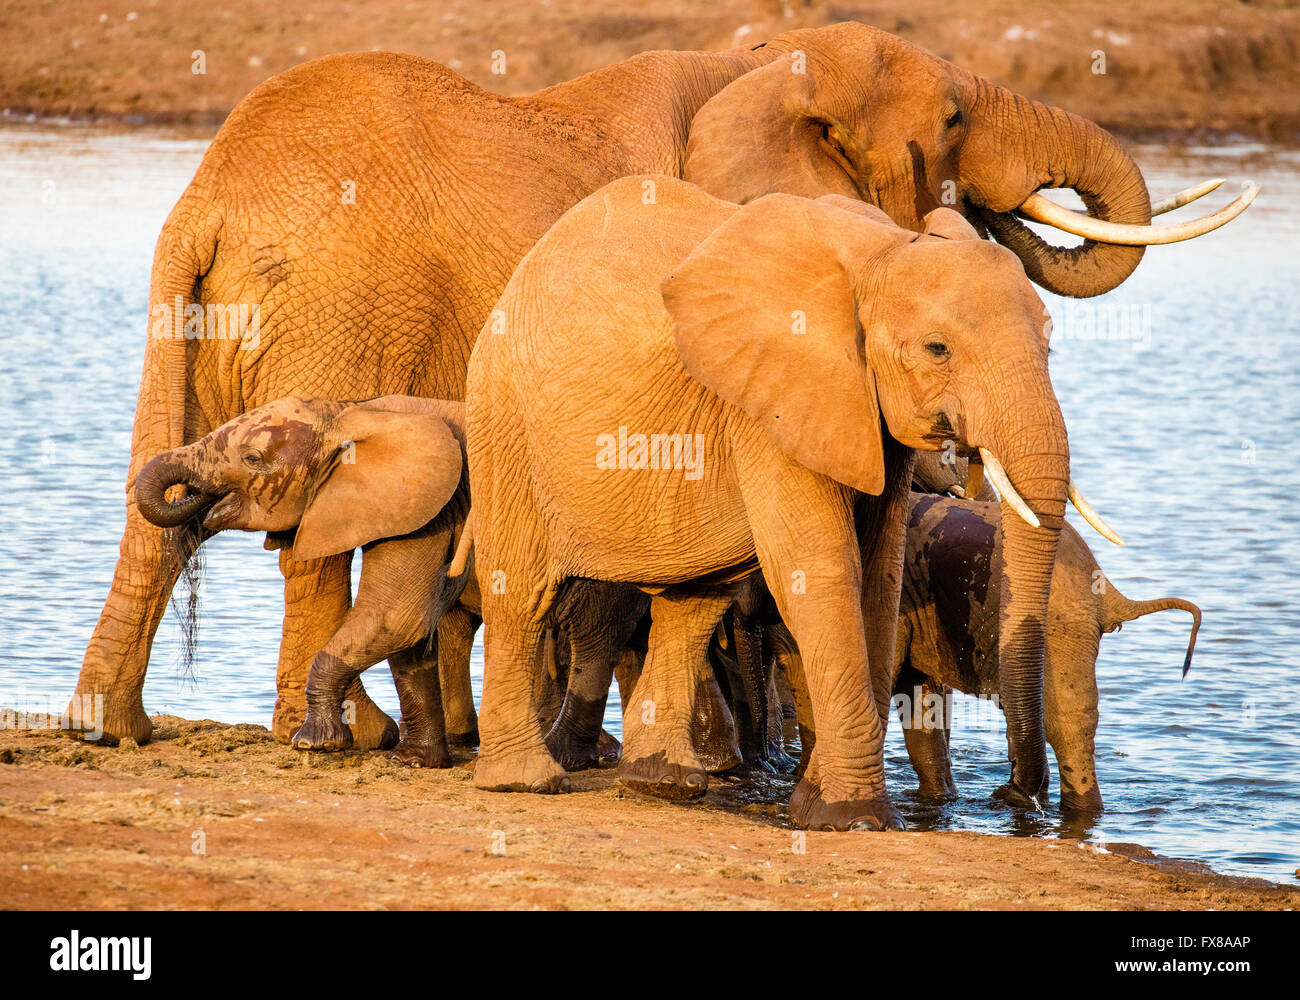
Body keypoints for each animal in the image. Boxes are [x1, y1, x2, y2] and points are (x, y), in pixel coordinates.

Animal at [71, 21, 1248, 749]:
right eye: (955, 119)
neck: (763, 60)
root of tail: (211, 198)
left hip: (204, 316)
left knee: (159, 500)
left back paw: (109, 728)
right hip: (341, 308)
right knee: (310, 539)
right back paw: (341, 738)